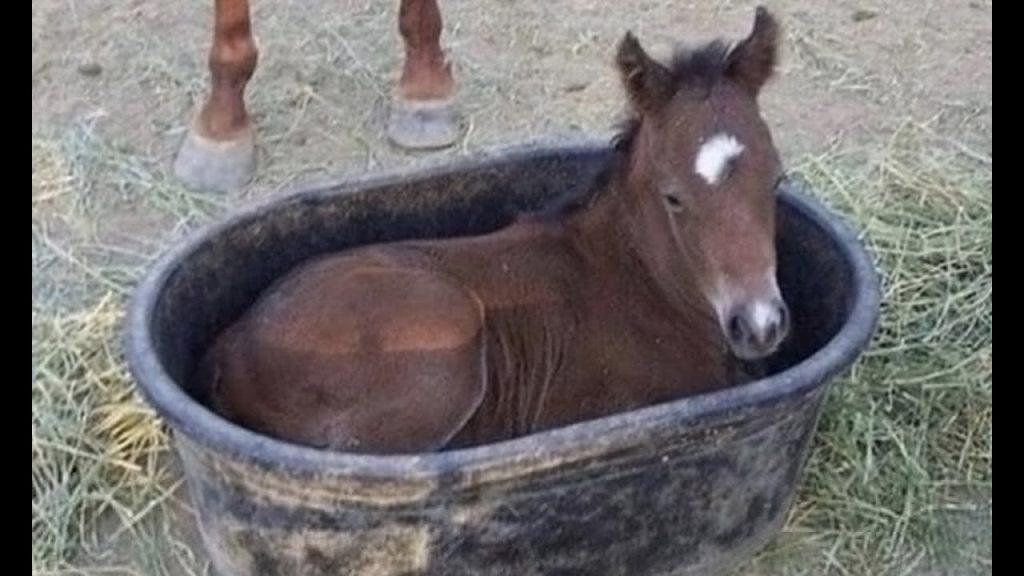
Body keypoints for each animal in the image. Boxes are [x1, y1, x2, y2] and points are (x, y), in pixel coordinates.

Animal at [201, 7, 790, 454]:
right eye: (673, 196)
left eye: (778, 179)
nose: (759, 323)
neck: (644, 283)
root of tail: (231, 342)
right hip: (440, 342)